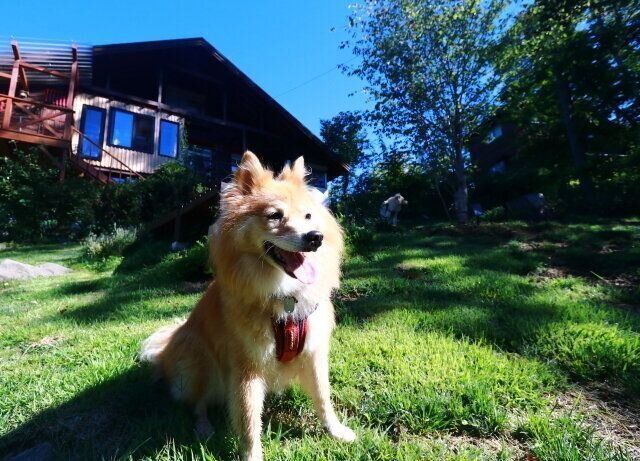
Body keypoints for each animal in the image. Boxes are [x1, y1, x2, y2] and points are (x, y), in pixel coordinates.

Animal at [140, 152, 355, 460]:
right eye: (275, 216)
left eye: (308, 216)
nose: (315, 237)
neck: (285, 297)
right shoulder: (246, 367)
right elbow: (249, 419)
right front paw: (252, 454)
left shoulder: (313, 353)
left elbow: (323, 397)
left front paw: (336, 431)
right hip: (198, 360)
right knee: (198, 403)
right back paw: (204, 427)